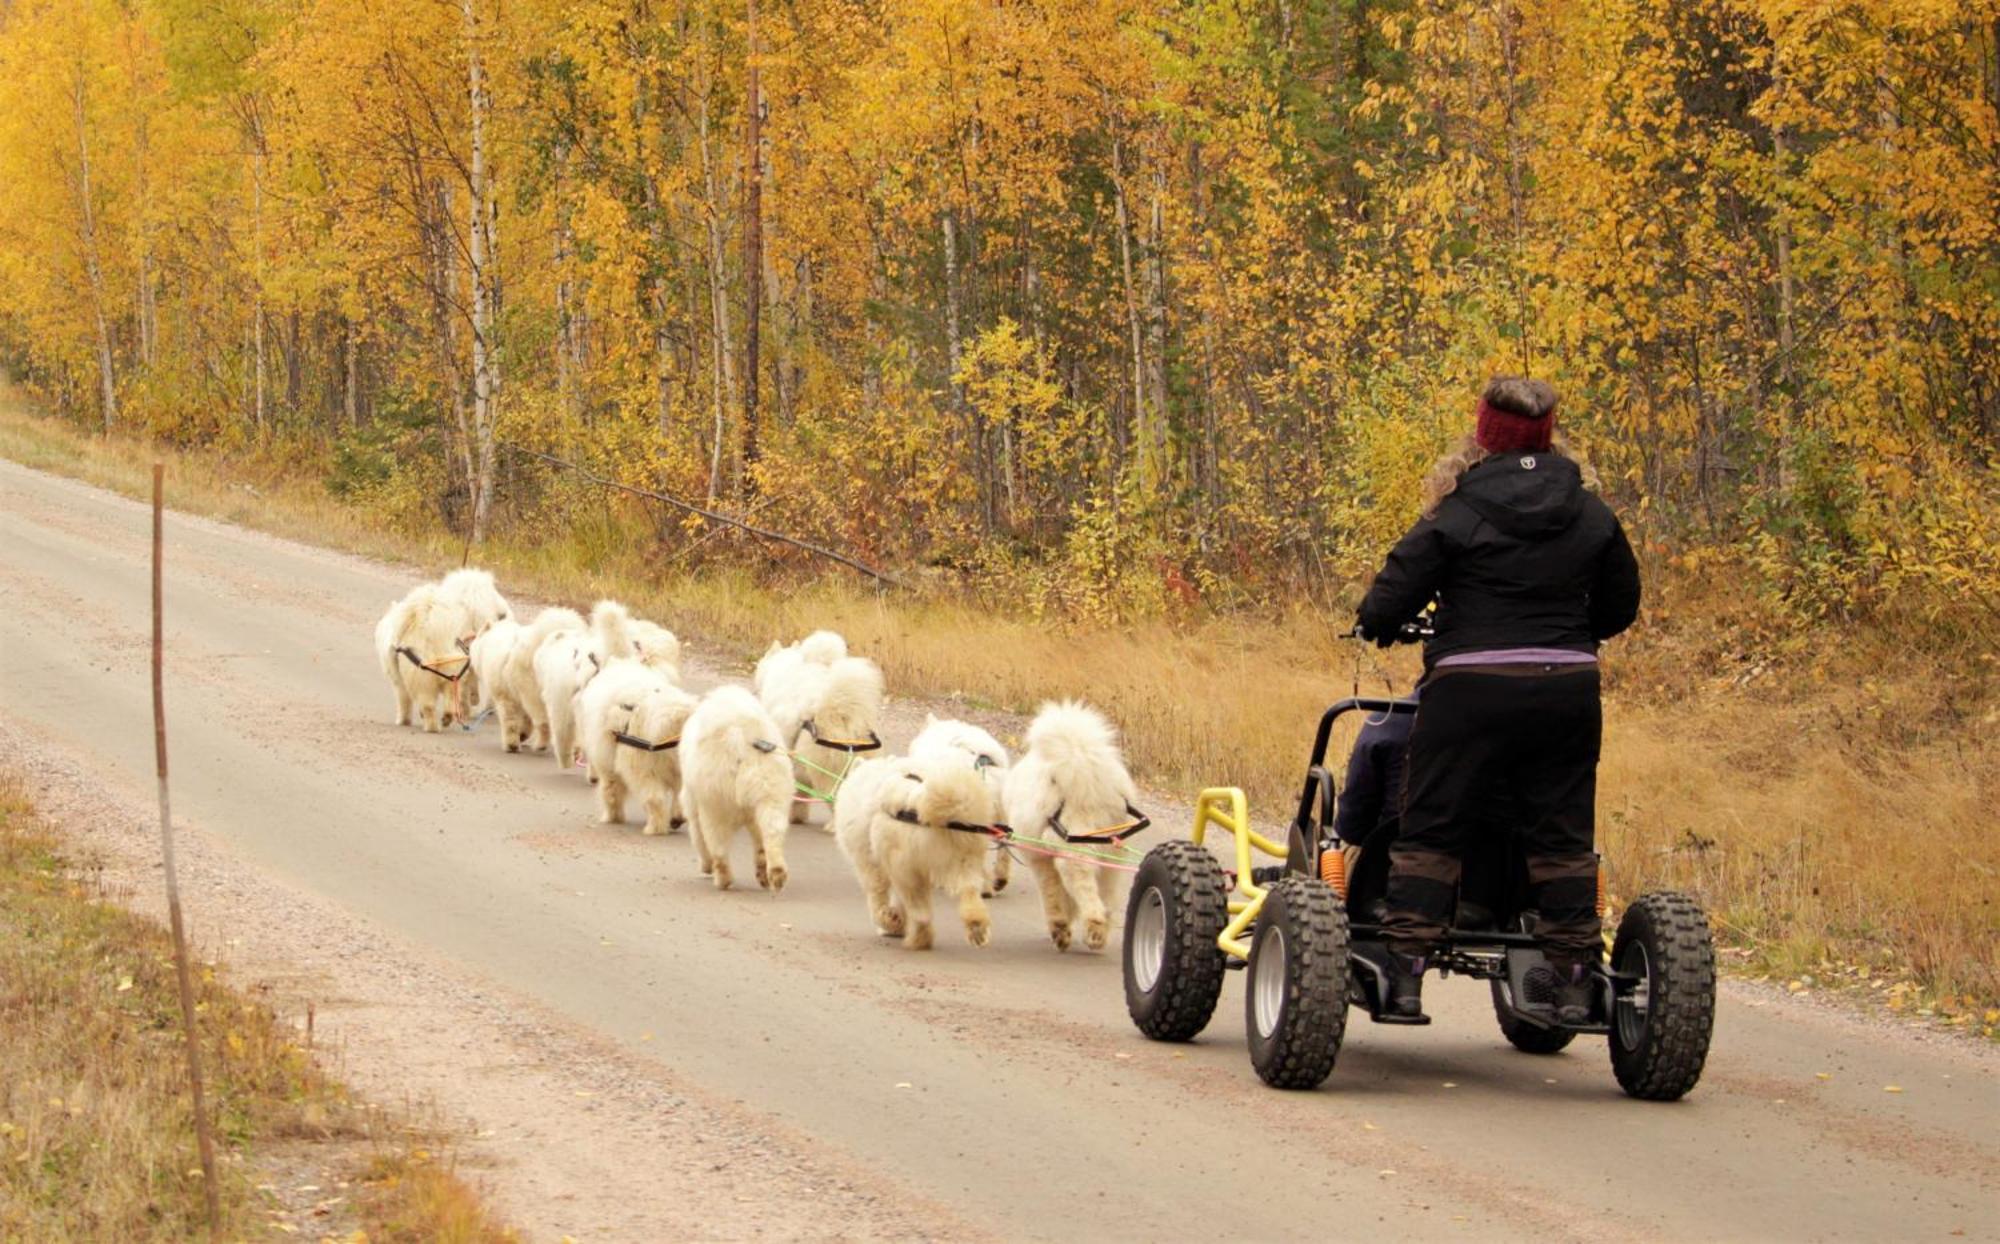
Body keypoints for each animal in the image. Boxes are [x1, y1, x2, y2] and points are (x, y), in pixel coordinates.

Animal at [676, 688, 792, 892]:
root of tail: (739, 738)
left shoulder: (693, 799)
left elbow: (697, 834)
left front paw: (706, 867)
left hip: (715, 798)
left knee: (717, 843)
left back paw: (723, 879)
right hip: (771, 788)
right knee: (772, 831)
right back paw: (776, 875)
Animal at [832, 752, 1000, 956]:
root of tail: (915, 801)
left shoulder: (867, 861)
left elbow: (877, 895)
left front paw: (889, 921)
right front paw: (895, 920)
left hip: (904, 864)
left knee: (921, 912)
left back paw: (919, 940)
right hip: (963, 857)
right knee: (969, 890)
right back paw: (976, 928)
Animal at [1000, 704, 1144, 956]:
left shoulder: (1040, 858)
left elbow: (1052, 894)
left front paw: (1060, 927)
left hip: (1072, 845)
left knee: (1082, 882)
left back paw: (1091, 925)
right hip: (1111, 849)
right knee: (1105, 893)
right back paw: (1098, 933)